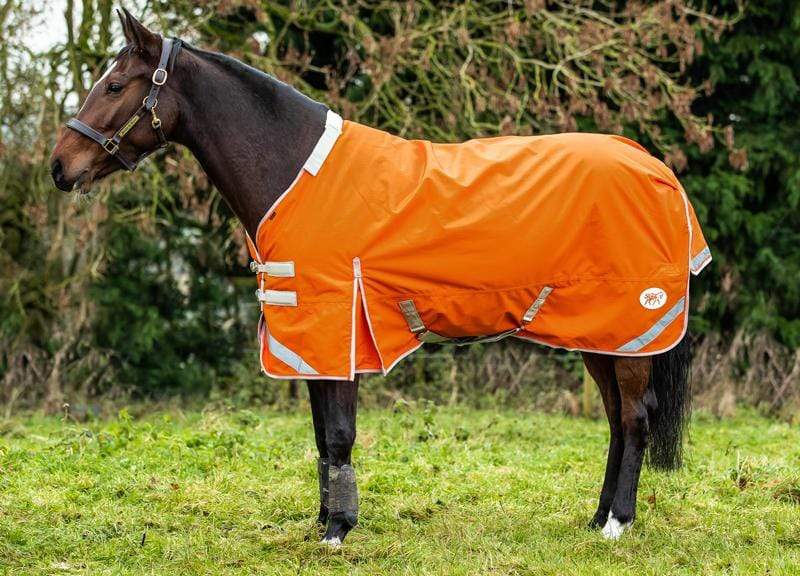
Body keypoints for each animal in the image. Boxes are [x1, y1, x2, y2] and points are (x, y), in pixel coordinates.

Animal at [51, 9, 702, 545]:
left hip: (628, 329)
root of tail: (653, 165)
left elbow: (338, 433)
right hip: (600, 335)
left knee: (636, 418)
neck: (293, 170)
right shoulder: (311, 339)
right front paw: (325, 520)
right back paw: (597, 517)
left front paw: (337, 530)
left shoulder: (334, 329)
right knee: (616, 419)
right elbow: (321, 437)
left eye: (114, 85)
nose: (60, 167)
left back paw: (617, 524)